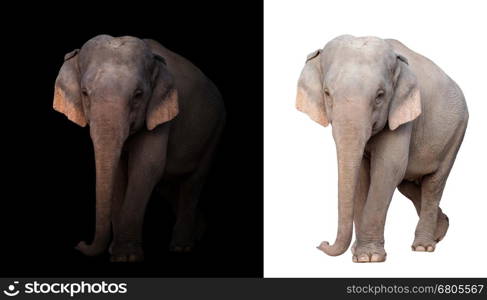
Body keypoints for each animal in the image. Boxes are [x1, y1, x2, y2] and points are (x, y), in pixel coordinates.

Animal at [53, 34, 227, 262]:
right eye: (84, 93)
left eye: (138, 95)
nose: (80, 244)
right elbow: (119, 174)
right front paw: (115, 251)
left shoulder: (161, 113)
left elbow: (147, 166)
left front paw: (125, 256)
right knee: (169, 186)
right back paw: (199, 232)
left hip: (215, 128)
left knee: (194, 181)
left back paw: (182, 246)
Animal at [298, 35, 468, 262]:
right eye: (327, 93)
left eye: (380, 95)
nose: (322, 244)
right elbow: (362, 176)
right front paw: (357, 252)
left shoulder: (403, 116)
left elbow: (388, 168)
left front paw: (367, 257)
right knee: (408, 184)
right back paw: (441, 229)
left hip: (456, 133)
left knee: (434, 183)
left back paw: (423, 246)